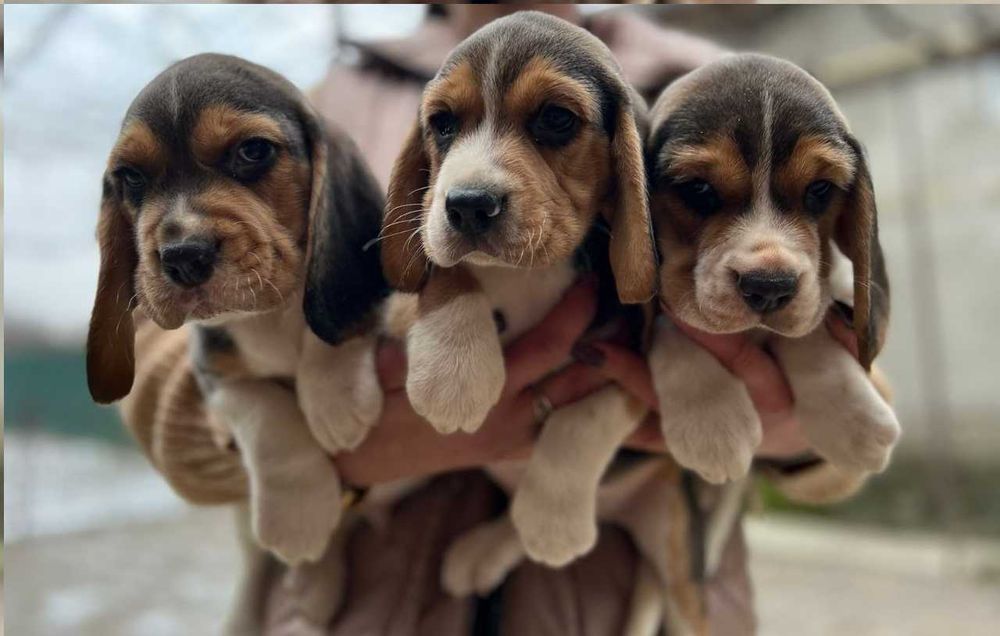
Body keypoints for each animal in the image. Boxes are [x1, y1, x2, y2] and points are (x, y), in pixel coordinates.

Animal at [85, 53, 388, 565]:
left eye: (252, 151)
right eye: (132, 176)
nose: (183, 256)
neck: (268, 315)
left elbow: (330, 326)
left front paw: (335, 395)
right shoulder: (213, 374)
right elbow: (265, 413)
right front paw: (297, 513)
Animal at [376, 11, 661, 589]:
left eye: (555, 118)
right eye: (442, 123)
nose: (467, 205)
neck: (528, 271)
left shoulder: (631, 368)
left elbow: (582, 422)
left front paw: (551, 522)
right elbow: (446, 269)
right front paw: (455, 372)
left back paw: (490, 547)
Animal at [645, 53, 900, 484]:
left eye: (819, 190)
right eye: (698, 189)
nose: (769, 287)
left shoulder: (818, 293)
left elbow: (809, 332)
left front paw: (853, 418)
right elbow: (674, 327)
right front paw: (713, 425)